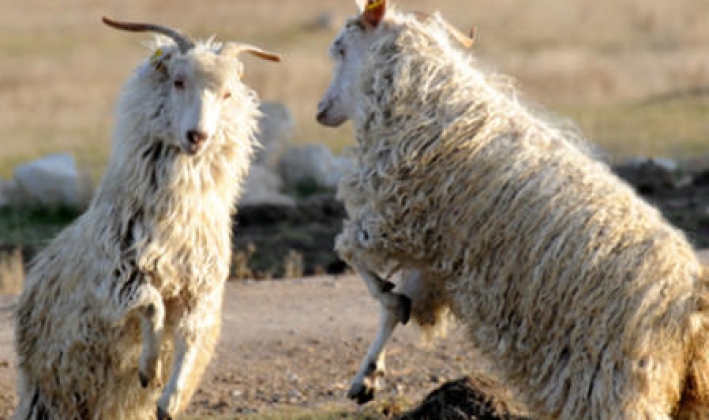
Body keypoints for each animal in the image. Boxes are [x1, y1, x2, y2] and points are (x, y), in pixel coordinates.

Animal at [14, 17, 280, 420]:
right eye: (178, 80)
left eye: (227, 94)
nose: (197, 136)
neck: (178, 224)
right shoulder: (118, 283)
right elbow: (153, 305)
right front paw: (148, 369)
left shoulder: (199, 293)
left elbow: (189, 340)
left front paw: (169, 399)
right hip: (52, 392)